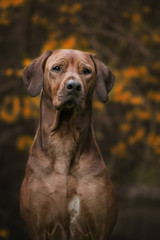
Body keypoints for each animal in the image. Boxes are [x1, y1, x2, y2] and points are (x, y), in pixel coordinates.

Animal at [20, 49, 117, 240]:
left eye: (86, 71)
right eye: (57, 68)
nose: (74, 86)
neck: (64, 138)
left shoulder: (99, 228)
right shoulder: (37, 227)